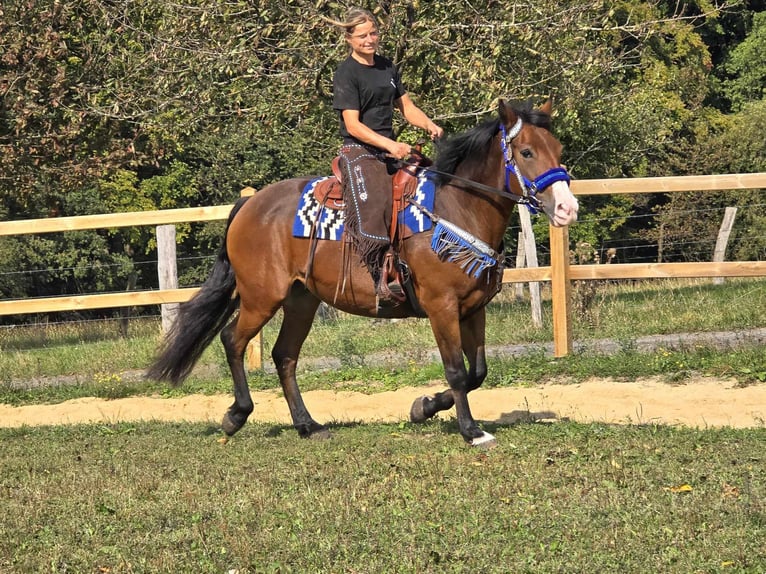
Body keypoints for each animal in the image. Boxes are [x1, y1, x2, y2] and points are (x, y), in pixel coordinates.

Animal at [148, 100, 576, 450]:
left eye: (557, 150)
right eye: (526, 152)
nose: (567, 208)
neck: (456, 208)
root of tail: (250, 204)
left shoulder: (474, 308)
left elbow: (478, 372)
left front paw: (423, 407)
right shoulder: (441, 307)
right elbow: (457, 371)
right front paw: (470, 430)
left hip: (301, 301)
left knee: (284, 356)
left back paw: (308, 425)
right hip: (261, 296)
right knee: (233, 341)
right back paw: (236, 415)